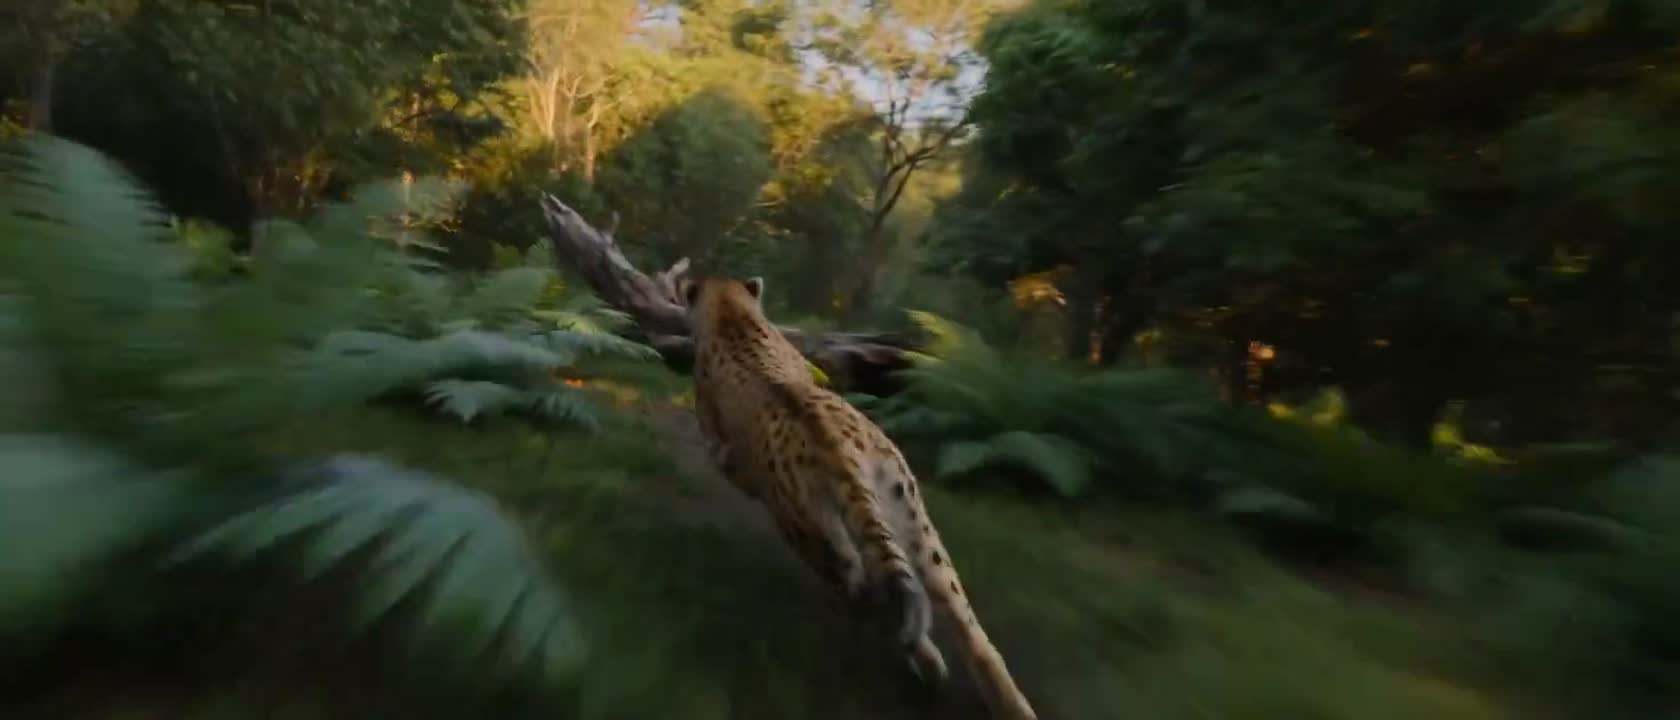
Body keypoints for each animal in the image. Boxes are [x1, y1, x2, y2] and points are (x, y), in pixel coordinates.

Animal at [678, 273, 1039, 720]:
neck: (733, 314)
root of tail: (834, 445)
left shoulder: (724, 448)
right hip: (915, 523)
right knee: (962, 621)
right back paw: (1006, 701)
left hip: (809, 530)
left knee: (859, 583)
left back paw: (912, 654)